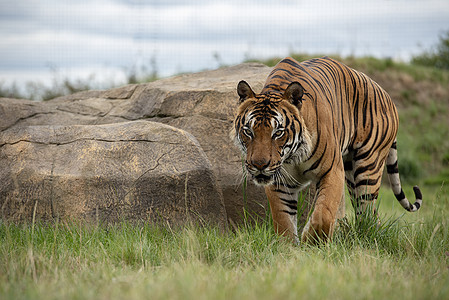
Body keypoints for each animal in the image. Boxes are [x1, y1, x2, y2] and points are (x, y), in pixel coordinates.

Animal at [233, 55, 422, 244]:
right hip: (351, 174)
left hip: (368, 168)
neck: (293, 156)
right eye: (248, 131)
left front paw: (311, 242)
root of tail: (387, 95)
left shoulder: (332, 171)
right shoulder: (279, 182)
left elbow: (323, 214)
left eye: (278, 132)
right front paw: (289, 247)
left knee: (368, 212)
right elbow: (283, 221)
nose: (259, 165)